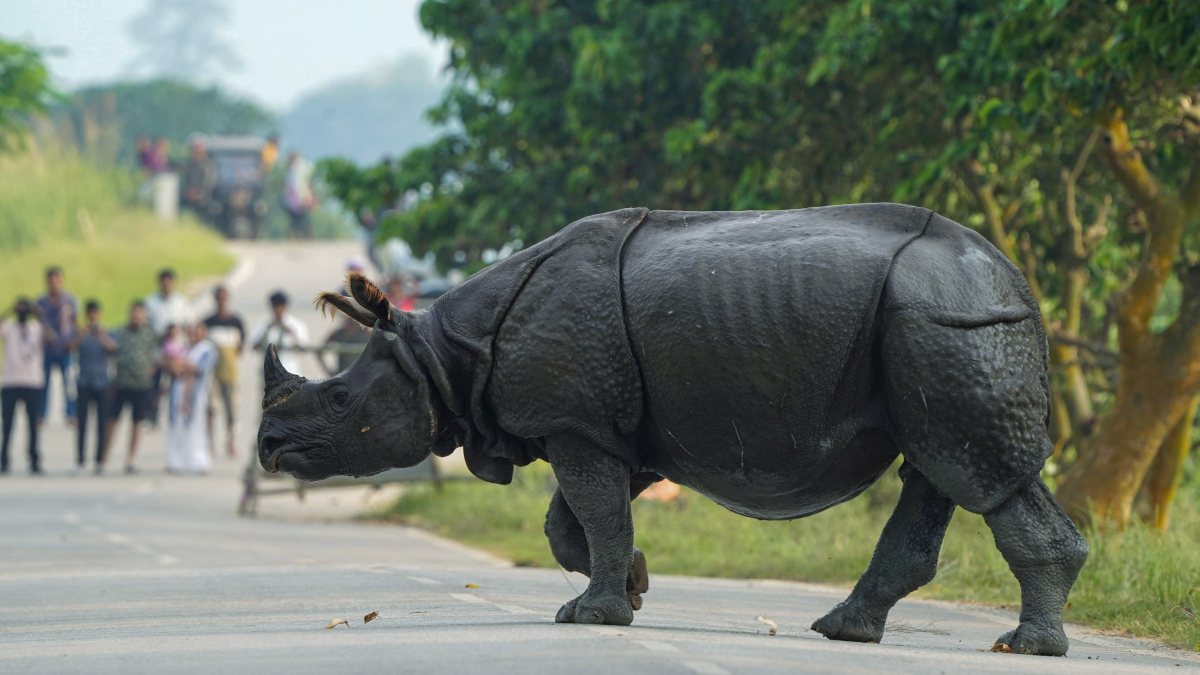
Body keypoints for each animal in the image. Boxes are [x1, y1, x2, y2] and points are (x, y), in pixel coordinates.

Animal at [258, 204, 1087, 656]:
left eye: (339, 399)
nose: (267, 447)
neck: (441, 354)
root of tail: (1014, 279)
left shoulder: (578, 422)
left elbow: (594, 512)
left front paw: (593, 614)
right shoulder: (609, 424)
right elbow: (576, 522)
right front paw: (633, 583)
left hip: (945, 319)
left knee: (976, 471)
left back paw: (1023, 646)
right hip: (937, 323)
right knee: (938, 465)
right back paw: (844, 630)